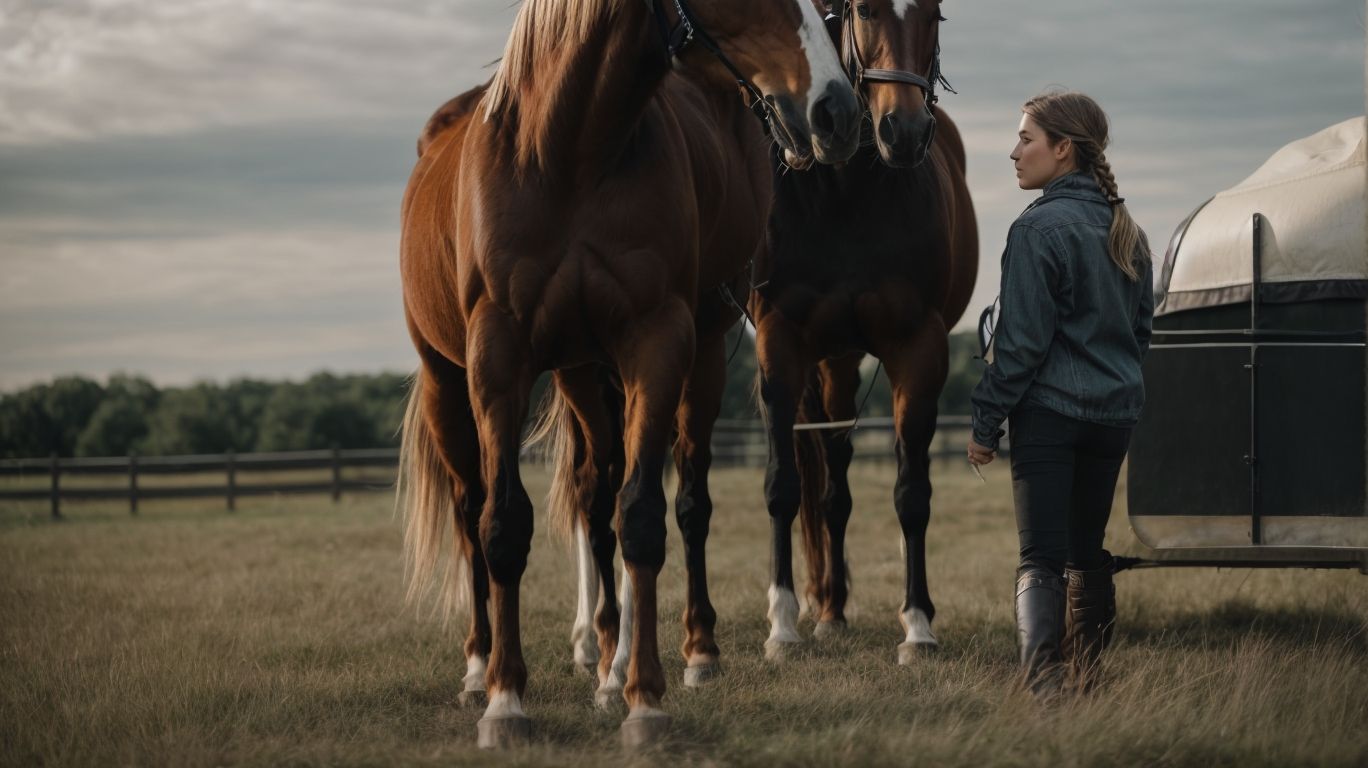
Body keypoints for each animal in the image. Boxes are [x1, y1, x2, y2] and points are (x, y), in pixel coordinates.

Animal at [398, 0, 861, 748]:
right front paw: (506, 700)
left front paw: (644, 699)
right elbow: (503, 525)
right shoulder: (498, 357)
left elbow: (641, 515)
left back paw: (662, 657)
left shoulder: (656, 342)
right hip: (452, 381)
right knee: (473, 513)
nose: (837, 111)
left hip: (645, 364)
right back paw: (478, 667)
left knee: (636, 498)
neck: (566, 153)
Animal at [749, 0, 978, 664]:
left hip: (844, 360)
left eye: (935, 14)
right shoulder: (779, 348)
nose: (901, 132)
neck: (847, 192)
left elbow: (911, 493)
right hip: (829, 362)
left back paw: (835, 609)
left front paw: (918, 626)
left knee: (836, 487)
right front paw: (781, 626)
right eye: (863, 11)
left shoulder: (919, 351)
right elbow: (782, 487)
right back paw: (823, 611)